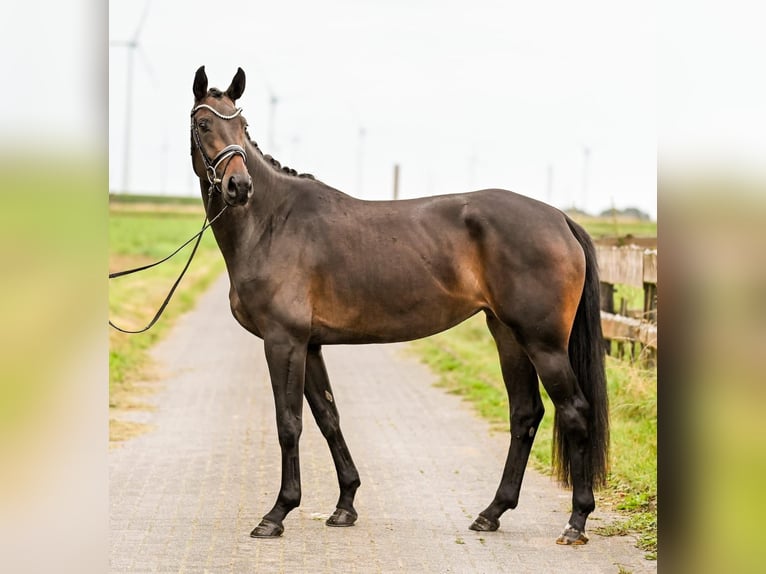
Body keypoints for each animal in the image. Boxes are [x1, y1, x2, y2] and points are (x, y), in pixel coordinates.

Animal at [189, 65, 608, 548]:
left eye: (242, 125)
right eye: (205, 124)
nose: (239, 186)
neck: (273, 222)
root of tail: (559, 219)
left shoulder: (283, 341)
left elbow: (288, 423)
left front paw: (277, 513)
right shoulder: (308, 344)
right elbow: (328, 417)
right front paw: (345, 504)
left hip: (543, 343)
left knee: (574, 411)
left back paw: (576, 521)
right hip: (508, 335)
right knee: (525, 414)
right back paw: (492, 512)